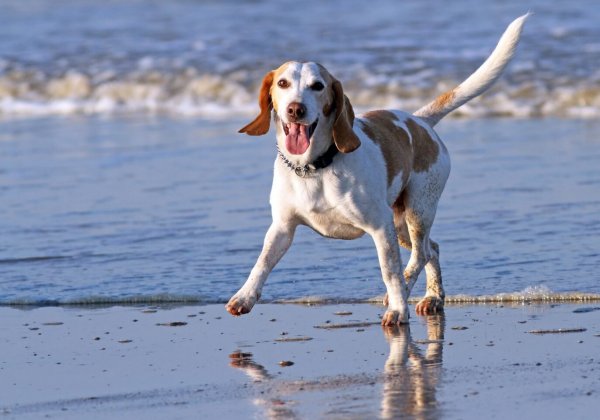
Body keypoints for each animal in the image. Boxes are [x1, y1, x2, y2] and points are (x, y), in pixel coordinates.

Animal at [227, 13, 528, 324]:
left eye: (318, 86)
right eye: (283, 83)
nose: (296, 109)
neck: (314, 167)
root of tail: (419, 121)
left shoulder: (380, 227)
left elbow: (390, 272)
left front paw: (397, 309)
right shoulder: (282, 228)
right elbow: (261, 263)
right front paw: (245, 297)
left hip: (417, 212)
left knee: (420, 255)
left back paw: (407, 292)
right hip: (401, 224)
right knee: (432, 249)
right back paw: (433, 297)